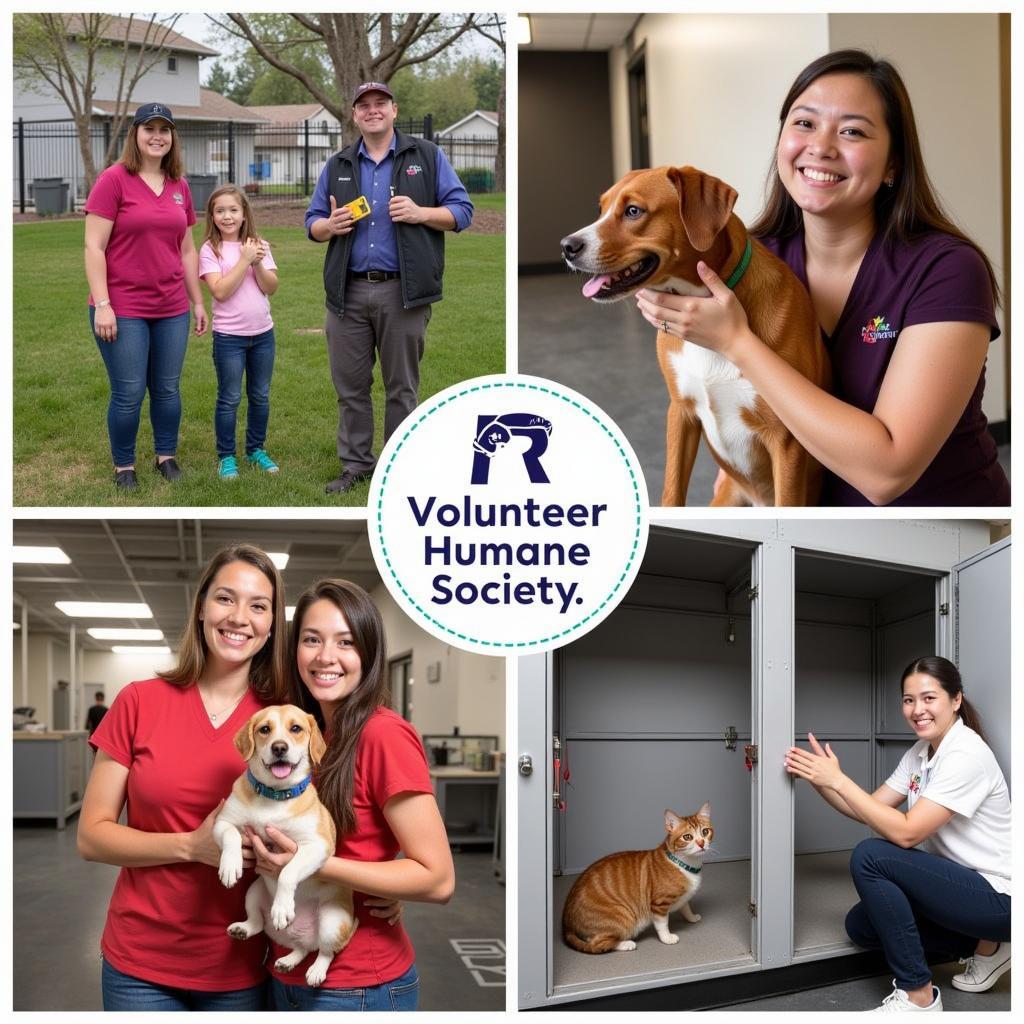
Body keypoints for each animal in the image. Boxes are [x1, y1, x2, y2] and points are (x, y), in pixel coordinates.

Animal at [211, 708, 356, 987]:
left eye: (296, 728)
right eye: (265, 729)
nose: (279, 747)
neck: (274, 796)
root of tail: (299, 934)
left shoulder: (317, 846)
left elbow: (289, 871)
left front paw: (282, 907)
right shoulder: (223, 823)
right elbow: (232, 836)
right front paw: (230, 867)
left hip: (332, 921)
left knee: (325, 952)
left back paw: (316, 971)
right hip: (253, 893)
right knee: (270, 931)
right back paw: (259, 939)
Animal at [561, 162, 831, 507]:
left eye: (634, 211)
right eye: (601, 209)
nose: (567, 246)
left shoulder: (786, 441)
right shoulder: (681, 413)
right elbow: (672, 491)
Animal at [561, 798, 712, 950]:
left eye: (705, 832)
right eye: (687, 837)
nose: (701, 843)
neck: (686, 865)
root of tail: (567, 924)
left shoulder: (684, 897)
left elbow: (686, 907)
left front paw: (692, 917)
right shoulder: (659, 904)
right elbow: (662, 924)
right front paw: (667, 938)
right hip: (624, 916)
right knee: (598, 943)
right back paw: (626, 944)